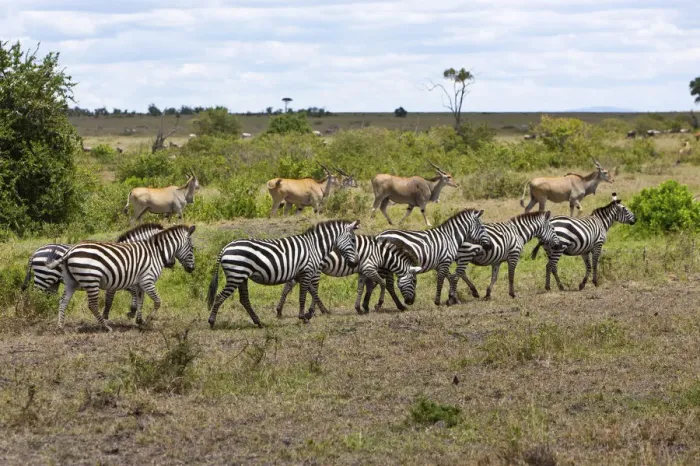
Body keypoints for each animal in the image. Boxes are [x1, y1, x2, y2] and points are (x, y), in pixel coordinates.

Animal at [45, 224, 196, 331]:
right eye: (192, 248)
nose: (192, 269)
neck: (156, 253)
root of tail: (71, 250)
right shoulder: (147, 281)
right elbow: (157, 302)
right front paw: (147, 321)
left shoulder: (138, 283)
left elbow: (140, 301)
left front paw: (139, 320)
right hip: (91, 279)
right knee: (92, 305)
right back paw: (105, 327)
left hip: (71, 282)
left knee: (63, 301)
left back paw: (60, 327)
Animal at [207, 219, 360, 328]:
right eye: (353, 240)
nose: (356, 263)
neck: (314, 247)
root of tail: (225, 248)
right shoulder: (307, 271)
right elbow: (303, 296)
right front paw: (304, 317)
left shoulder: (300, 273)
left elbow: (312, 292)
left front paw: (314, 313)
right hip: (236, 275)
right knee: (220, 297)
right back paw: (212, 322)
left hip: (242, 277)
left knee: (244, 300)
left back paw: (258, 322)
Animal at [274, 235, 421, 316]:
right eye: (414, 281)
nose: (411, 301)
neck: (381, 254)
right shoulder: (369, 268)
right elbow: (382, 283)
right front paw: (378, 304)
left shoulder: (363, 271)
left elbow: (361, 288)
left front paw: (359, 308)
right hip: (314, 269)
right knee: (311, 288)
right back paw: (319, 310)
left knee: (291, 285)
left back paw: (280, 310)